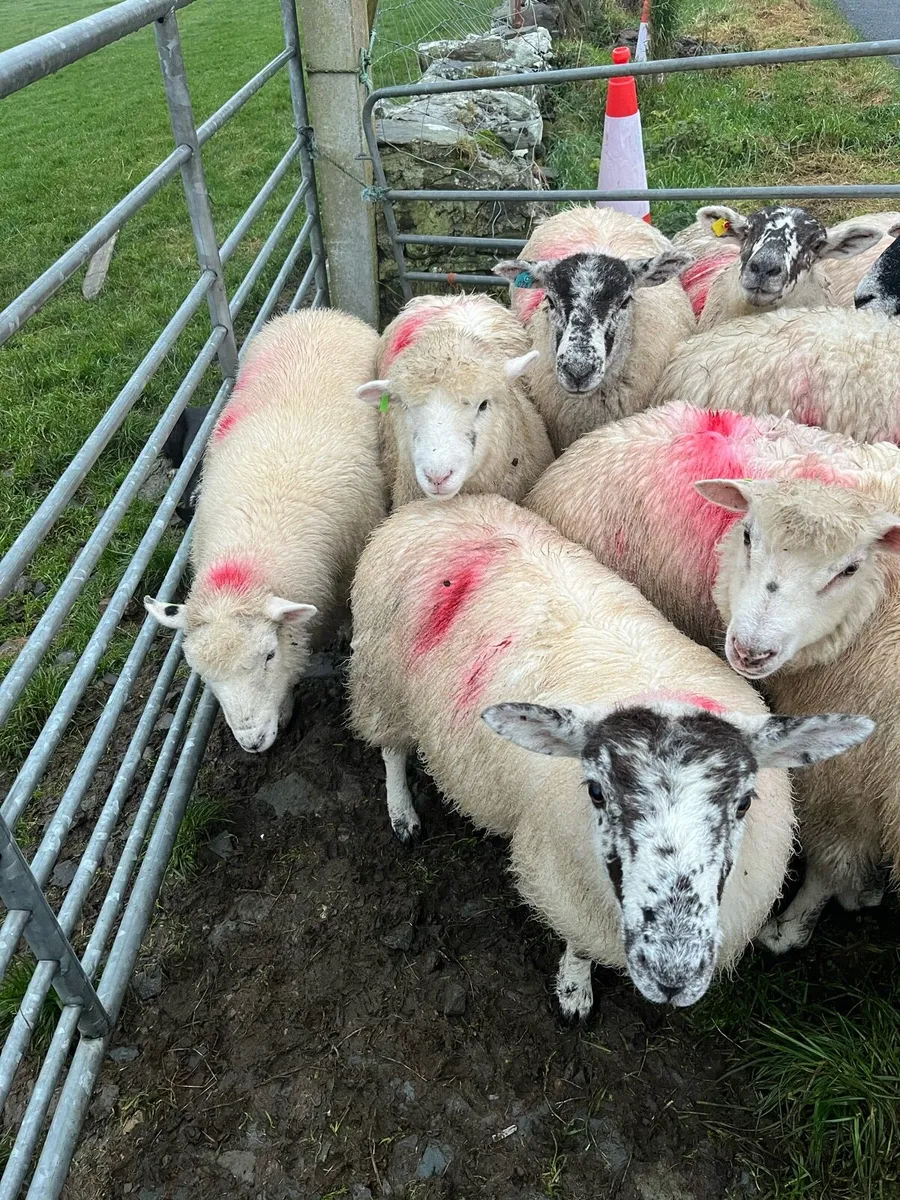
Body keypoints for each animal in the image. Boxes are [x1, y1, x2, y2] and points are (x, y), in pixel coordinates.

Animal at [347, 492, 871, 1019]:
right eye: (596, 793)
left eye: (744, 803)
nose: (672, 971)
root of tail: (437, 508)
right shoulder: (571, 888)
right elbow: (580, 945)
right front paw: (574, 991)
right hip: (381, 678)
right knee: (391, 748)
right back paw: (403, 814)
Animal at [524, 403, 899, 952]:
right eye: (746, 536)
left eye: (848, 569)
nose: (750, 649)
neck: (879, 607)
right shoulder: (852, 780)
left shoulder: (853, 778)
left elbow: (832, 864)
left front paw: (794, 926)